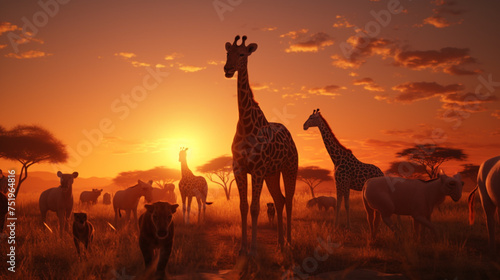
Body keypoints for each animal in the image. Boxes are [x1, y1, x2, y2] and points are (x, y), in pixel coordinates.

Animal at [225, 35, 298, 254]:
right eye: (227, 53)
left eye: (242, 54)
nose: (227, 69)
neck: (246, 124)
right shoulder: (239, 168)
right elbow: (243, 206)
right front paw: (242, 248)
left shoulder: (256, 169)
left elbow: (255, 208)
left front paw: (254, 249)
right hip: (272, 173)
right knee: (280, 200)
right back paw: (280, 243)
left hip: (289, 168)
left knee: (289, 200)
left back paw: (289, 242)